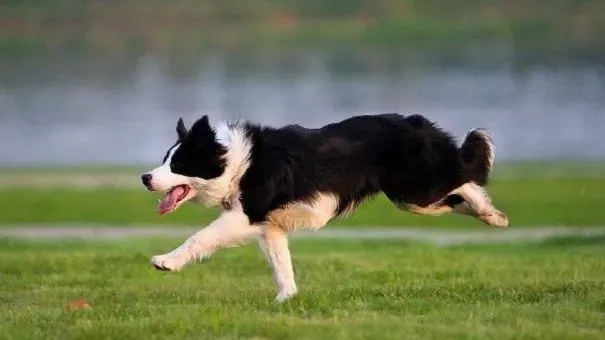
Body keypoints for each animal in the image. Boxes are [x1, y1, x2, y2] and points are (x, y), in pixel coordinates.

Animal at [143, 113, 510, 302]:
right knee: (458, 193)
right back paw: (493, 216)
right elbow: (281, 265)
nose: (145, 178)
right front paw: (287, 299)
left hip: (415, 189)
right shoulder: (270, 226)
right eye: (164, 159)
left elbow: (200, 237)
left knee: (464, 176)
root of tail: (415, 121)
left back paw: (492, 213)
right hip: (414, 199)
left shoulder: (246, 214)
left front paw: (165, 262)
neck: (236, 161)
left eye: (178, 163)